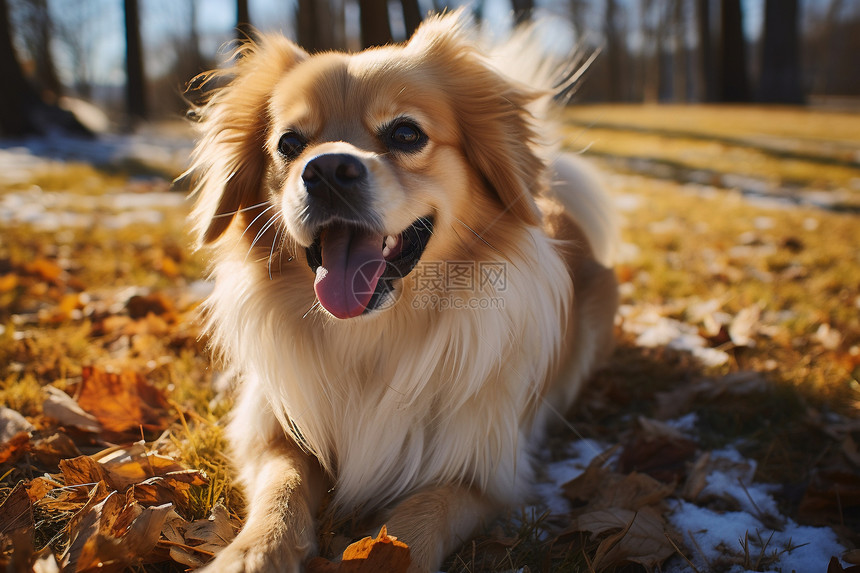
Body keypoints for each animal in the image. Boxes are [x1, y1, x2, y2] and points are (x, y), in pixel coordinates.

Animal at [188, 10, 620, 572]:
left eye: (406, 132)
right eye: (288, 144)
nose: (327, 169)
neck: (372, 336)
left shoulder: (484, 474)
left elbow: (418, 519)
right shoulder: (272, 430)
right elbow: (281, 488)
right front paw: (254, 552)